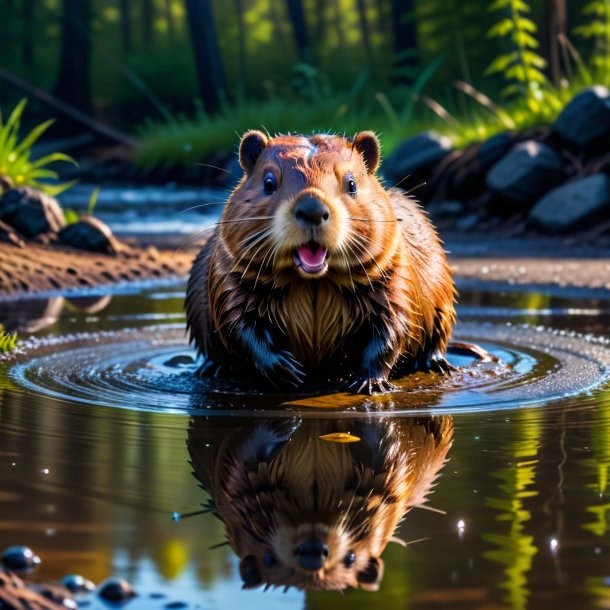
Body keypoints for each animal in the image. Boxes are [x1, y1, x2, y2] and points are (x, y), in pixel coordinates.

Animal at [186, 131, 456, 392]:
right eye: (269, 182)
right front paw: (288, 371)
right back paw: (212, 368)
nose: (312, 209)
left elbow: (392, 324)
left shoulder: (394, 273)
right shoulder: (228, 275)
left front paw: (370, 383)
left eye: (352, 183)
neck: (313, 283)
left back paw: (438, 363)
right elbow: (238, 323)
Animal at [188, 414, 454, 588]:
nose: (312, 552)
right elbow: (240, 463)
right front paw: (283, 427)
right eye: (268, 560)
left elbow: (389, 464)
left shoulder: (395, 488)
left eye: (351, 559)